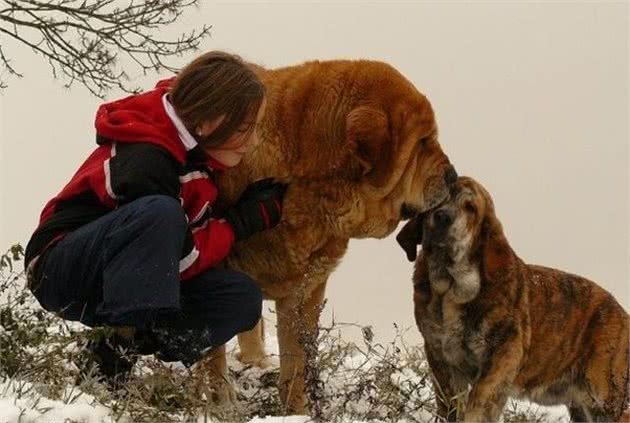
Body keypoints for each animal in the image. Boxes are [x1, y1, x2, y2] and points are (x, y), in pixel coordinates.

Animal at [210, 58, 456, 412]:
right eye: (423, 142)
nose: (453, 176)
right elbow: (212, 352)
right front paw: (218, 402)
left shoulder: (305, 292)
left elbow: (297, 363)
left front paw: (296, 411)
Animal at [398, 177, 628, 422]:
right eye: (439, 201)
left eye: (470, 208)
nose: (442, 216)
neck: (450, 293)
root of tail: (623, 314)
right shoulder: (441, 359)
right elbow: (450, 406)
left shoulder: (502, 357)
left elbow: (478, 402)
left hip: (607, 398)